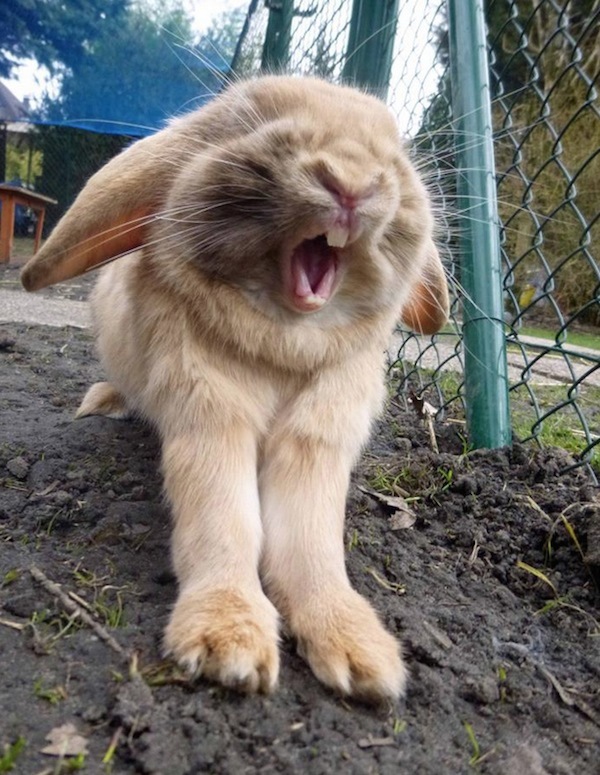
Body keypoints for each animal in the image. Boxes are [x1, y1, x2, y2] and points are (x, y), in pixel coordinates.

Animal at [21, 75, 449, 702]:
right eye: (255, 119)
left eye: (393, 144)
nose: (351, 179)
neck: (283, 341)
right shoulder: (207, 419)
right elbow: (223, 523)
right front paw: (227, 644)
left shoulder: (318, 443)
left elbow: (311, 544)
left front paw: (360, 655)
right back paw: (103, 403)